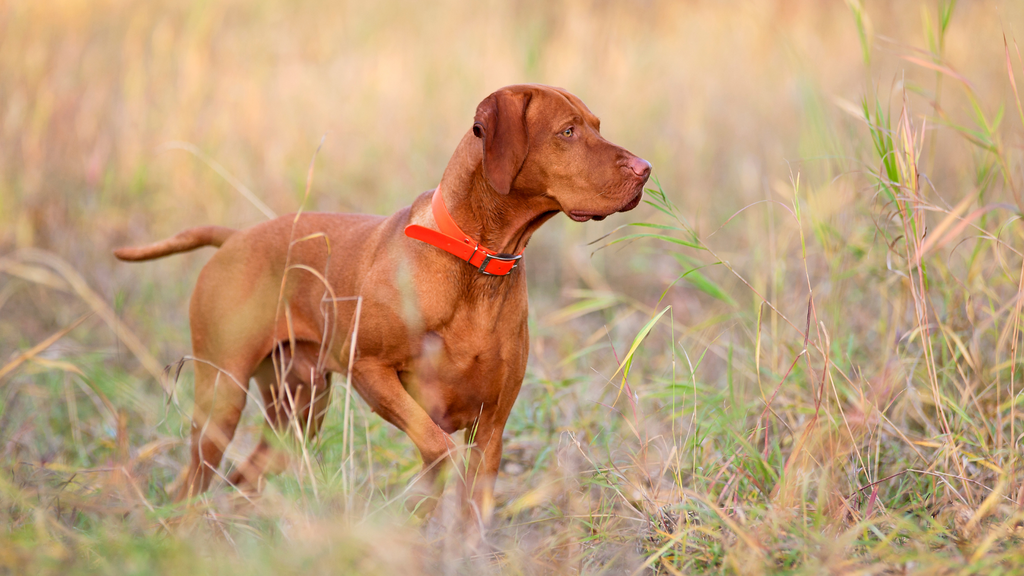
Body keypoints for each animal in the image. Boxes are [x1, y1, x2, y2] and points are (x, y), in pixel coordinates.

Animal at [116, 84, 651, 524]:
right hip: (222, 401)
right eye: (567, 131)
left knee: (240, 480)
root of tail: (234, 237)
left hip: (300, 413)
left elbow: (470, 511)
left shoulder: (492, 429)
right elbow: (437, 450)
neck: (476, 264)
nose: (645, 170)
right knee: (189, 487)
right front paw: (416, 508)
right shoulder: (372, 372)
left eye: (597, 125)